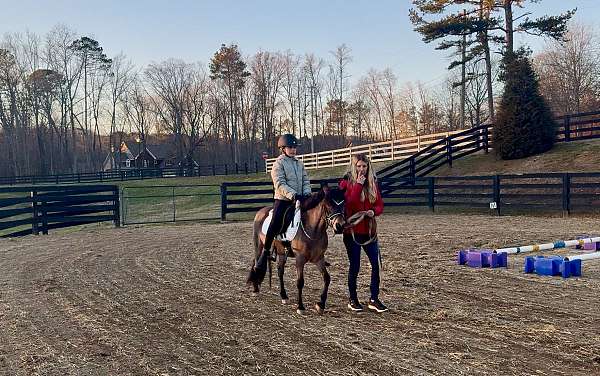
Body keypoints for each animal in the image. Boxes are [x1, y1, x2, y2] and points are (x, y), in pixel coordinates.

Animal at [246, 186, 346, 314]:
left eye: (343, 204)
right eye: (328, 205)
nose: (340, 226)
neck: (312, 228)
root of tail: (260, 211)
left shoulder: (319, 258)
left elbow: (327, 278)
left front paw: (321, 304)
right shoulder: (300, 259)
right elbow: (300, 282)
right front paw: (300, 307)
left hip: (281, 252)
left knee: (280, 271)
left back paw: (283, 296)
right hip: (259, 245)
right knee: (256, 263)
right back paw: (255, 290)